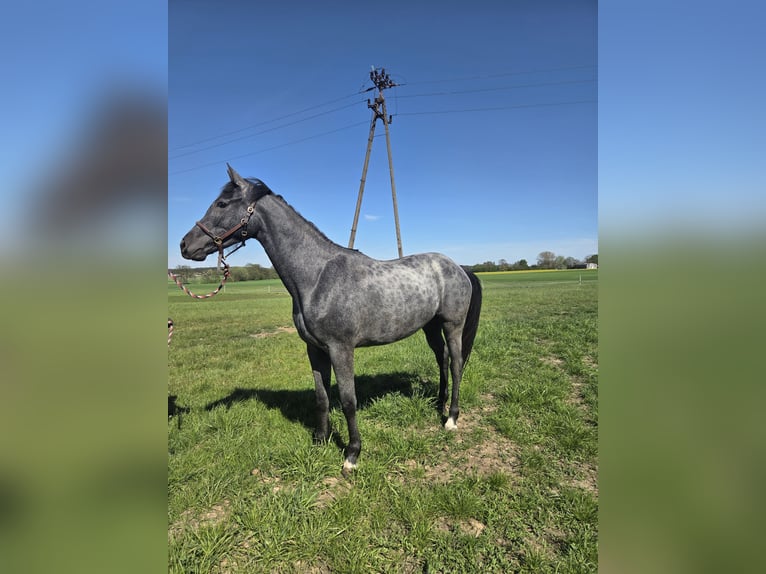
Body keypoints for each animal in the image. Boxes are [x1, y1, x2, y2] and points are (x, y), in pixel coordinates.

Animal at [180, 164, 482, 475]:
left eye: (222, 204)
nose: (185, 245)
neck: (317, 278)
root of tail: (459, 267)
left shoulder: (341, 349)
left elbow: (348, 400)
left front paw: (352, 454)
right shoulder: (315, 350)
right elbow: (322, 397)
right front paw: (321, 440)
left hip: (452, 326)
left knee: (456, 364)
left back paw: (451, 418)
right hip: (430, 327)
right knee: (442, 360)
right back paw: (439, 405)